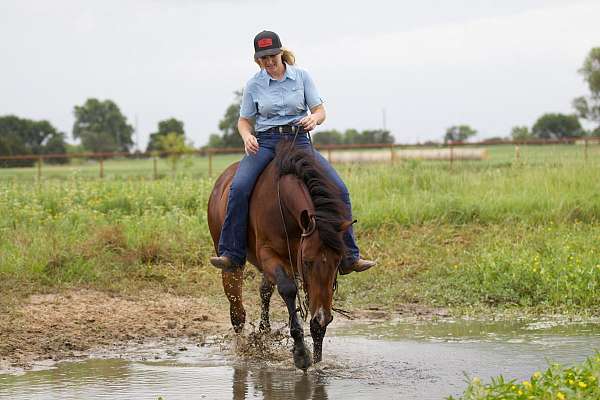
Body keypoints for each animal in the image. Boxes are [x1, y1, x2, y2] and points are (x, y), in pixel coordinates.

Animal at [209, 142, 354, 370]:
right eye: (307, 262)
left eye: (338, 261)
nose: (323, 317)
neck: (284, 208)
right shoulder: (271, 255)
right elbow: (288, 289)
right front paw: (301, 354)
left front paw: (317, 357)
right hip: (231, 262)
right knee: (237, 308)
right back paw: (242, 347)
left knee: (265, 291)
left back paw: (264, 333)